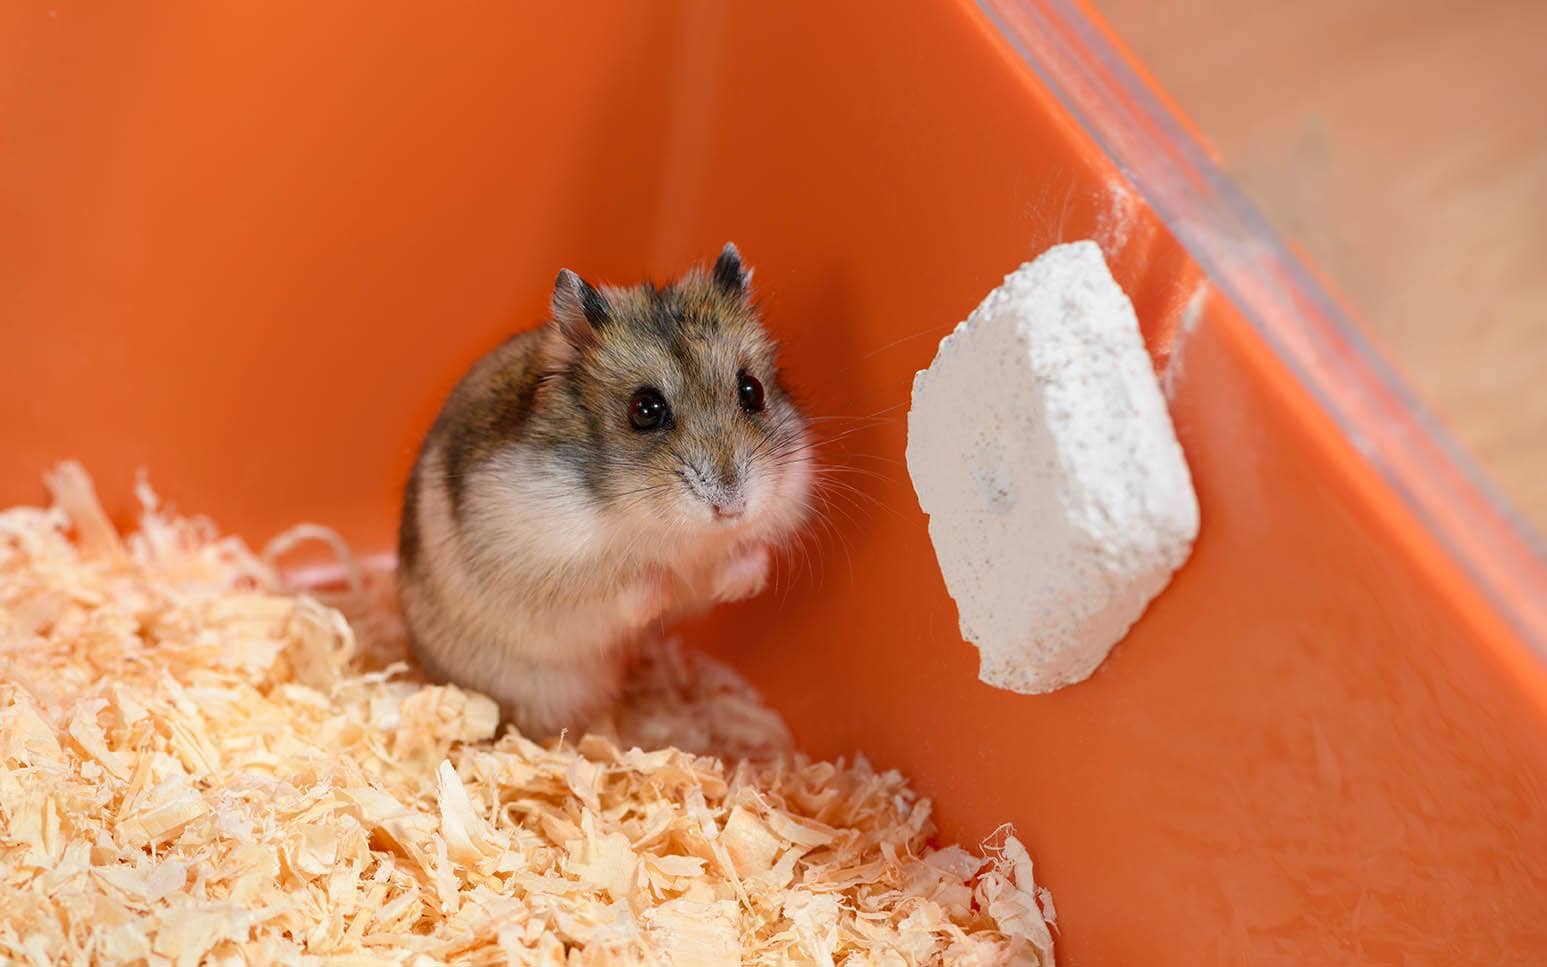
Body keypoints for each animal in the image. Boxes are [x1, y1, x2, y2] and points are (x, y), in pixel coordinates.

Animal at [396, 244, 813, 738]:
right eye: (645, 409)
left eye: (752, 390)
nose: (731, 507)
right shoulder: (552, 565)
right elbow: (625, 582)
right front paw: (665, 588)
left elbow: (750, 554)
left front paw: (733, 585)